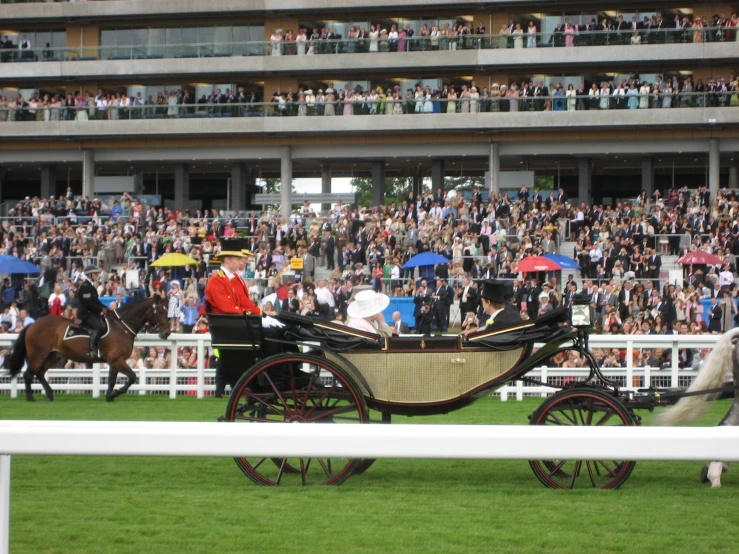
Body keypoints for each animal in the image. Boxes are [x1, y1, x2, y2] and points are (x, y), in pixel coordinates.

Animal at [3, 294, 171, 402]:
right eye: (160, 311)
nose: (167, 333)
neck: (121, 326)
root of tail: (33, 325)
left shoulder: (114, 361)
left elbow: (112, 380)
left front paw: (109, 396)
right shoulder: (117, 360)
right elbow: (132, 377)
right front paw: (115, 394)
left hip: (53, 355)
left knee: (39, 373)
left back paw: (49, 395)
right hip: (38, 355)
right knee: (29, 374)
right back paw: (30, 398)